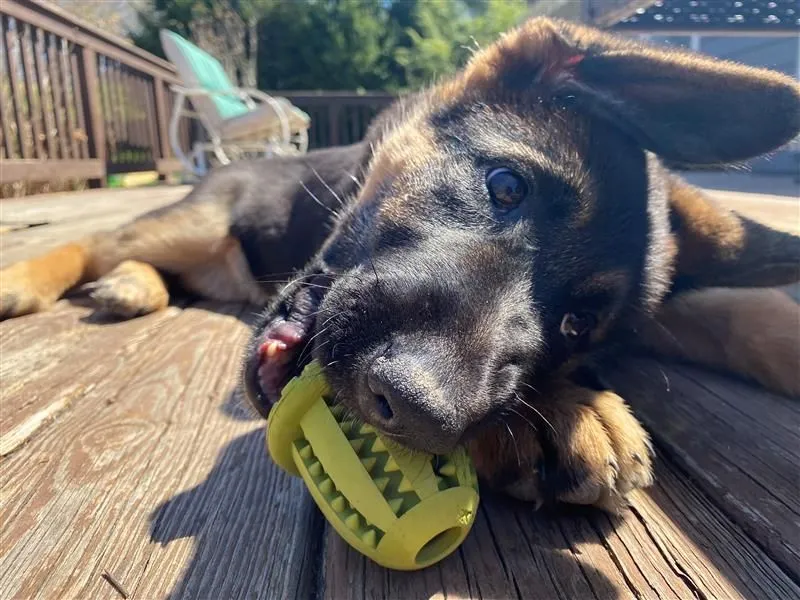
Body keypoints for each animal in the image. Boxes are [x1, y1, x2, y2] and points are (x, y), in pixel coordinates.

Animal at [1, 18, 800, 508]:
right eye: (505, 185)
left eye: (577, 325)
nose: (414, 408)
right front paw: (569, 413)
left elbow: (746, 310)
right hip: (192, 223)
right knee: (95, 243)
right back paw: (34, 280)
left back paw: (133, 289)